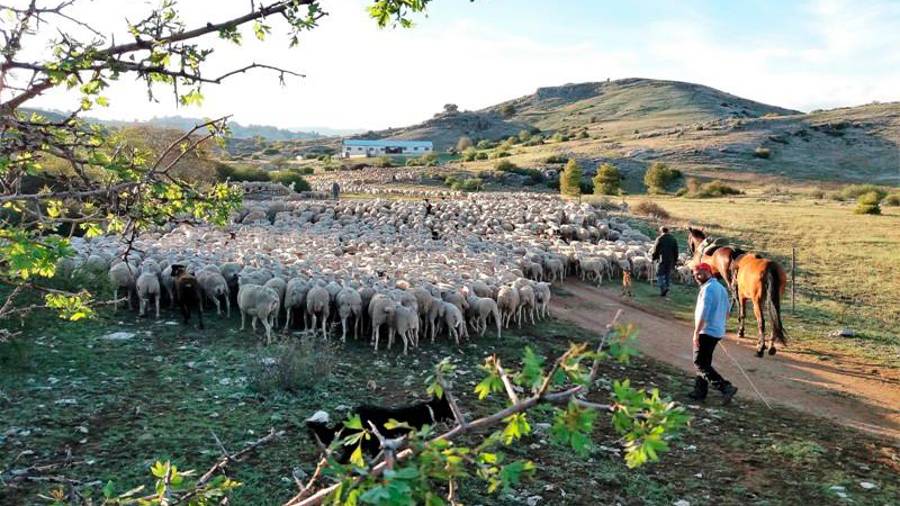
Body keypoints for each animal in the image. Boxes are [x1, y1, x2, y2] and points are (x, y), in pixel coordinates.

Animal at [688, 226, 788, 356]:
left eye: (689, 238)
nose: (690, 250)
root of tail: (770, 267)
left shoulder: (740, 294)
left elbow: (741, 310)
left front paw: (741, 330)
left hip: (754, 299)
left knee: (761, 321)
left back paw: (760, 347)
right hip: (774, 300)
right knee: (774, 320)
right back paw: (771, 347)